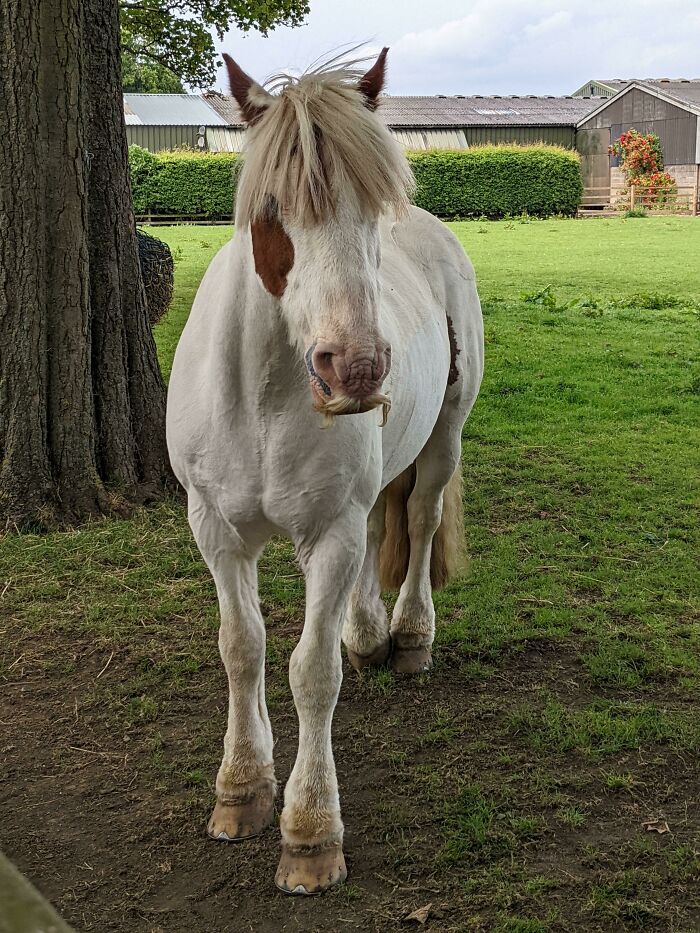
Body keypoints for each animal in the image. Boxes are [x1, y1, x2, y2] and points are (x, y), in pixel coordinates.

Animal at [165, 49, 484, 896]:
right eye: (273, 208)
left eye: (373, 209)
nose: (359, 368)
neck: (264, 394)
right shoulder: (215, 530)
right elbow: (240, 646)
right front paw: (241, 787)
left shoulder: (329, 534)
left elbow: (310, 671)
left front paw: (309, 831)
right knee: (382, 527)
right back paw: (367, 633)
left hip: (444, 439)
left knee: (418, 520)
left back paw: (408, 634)